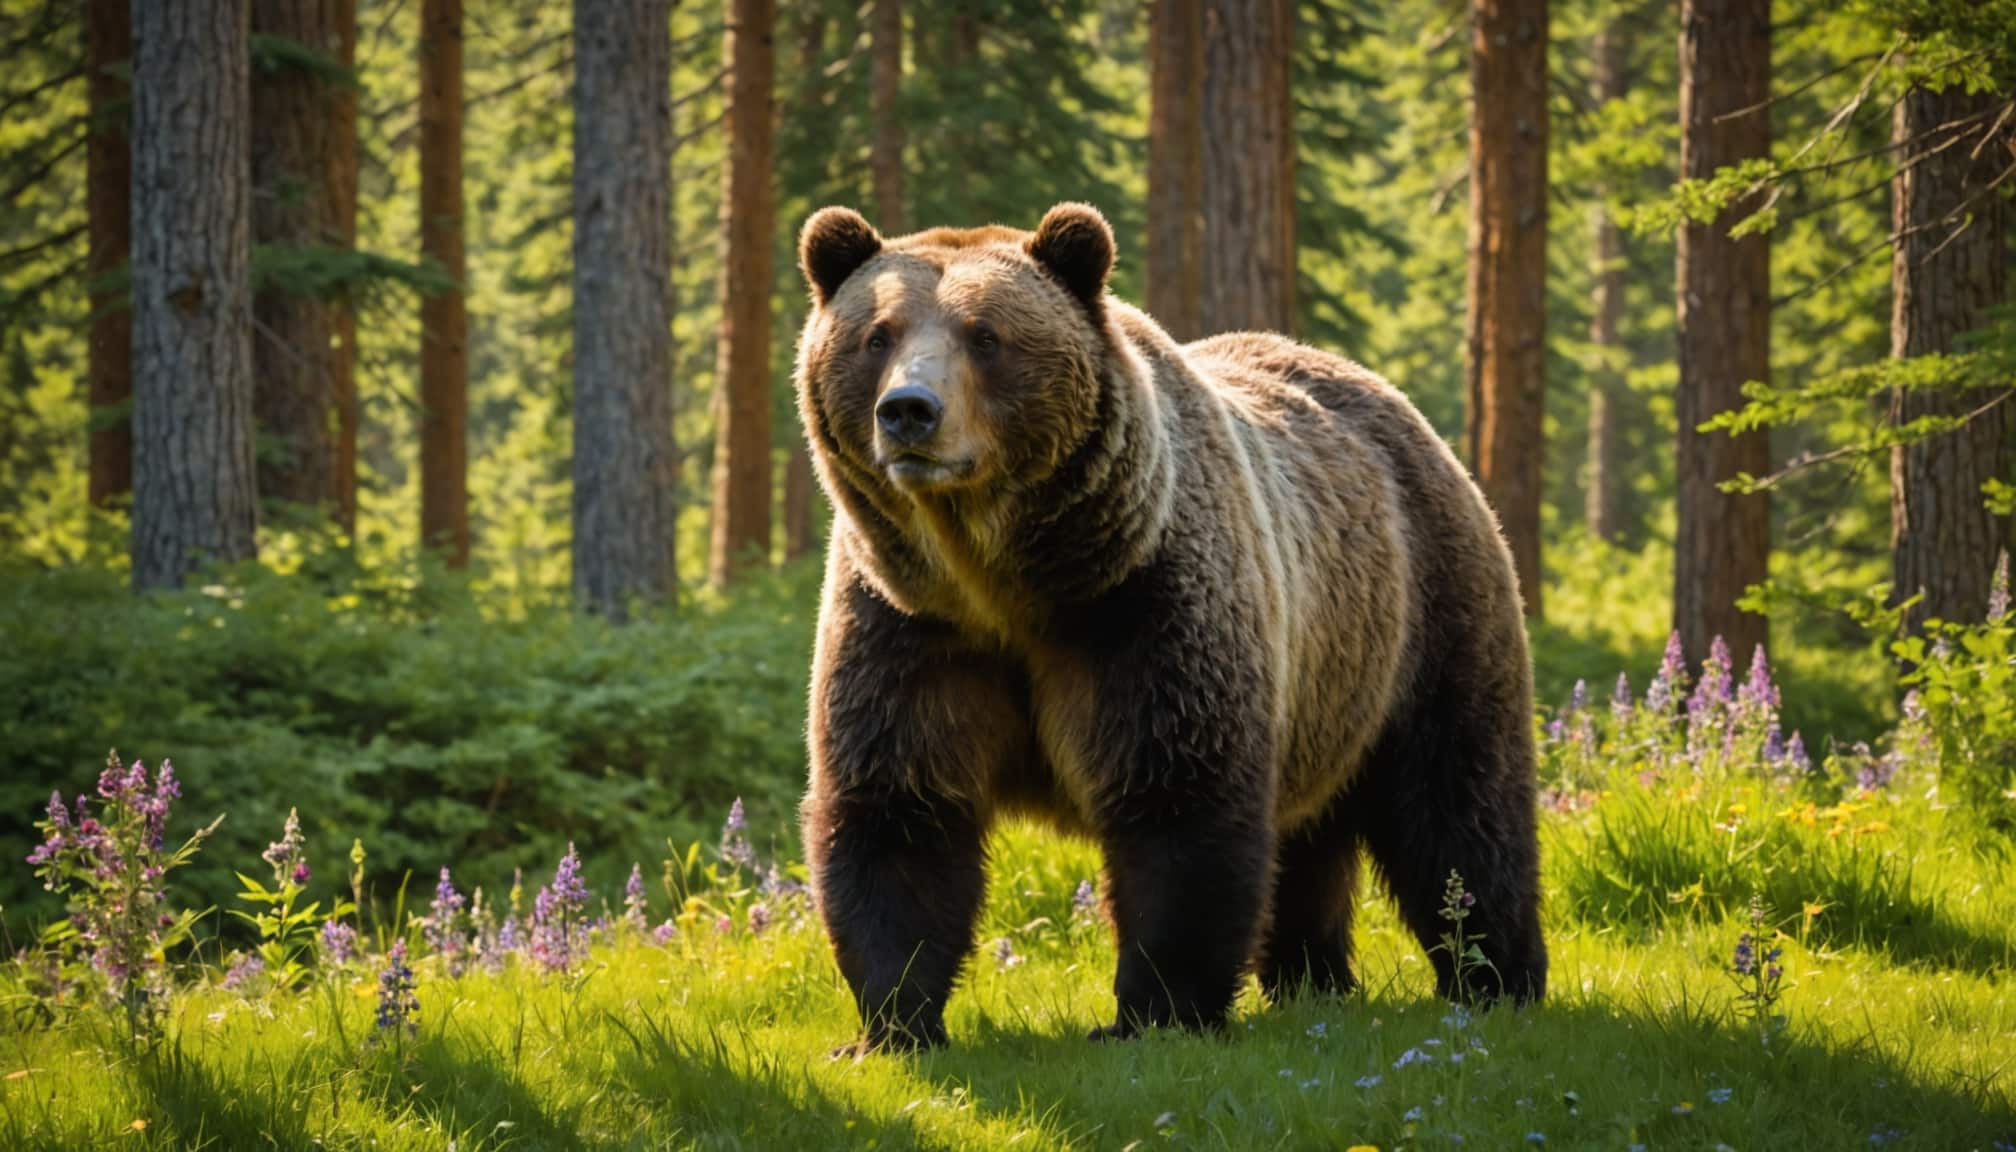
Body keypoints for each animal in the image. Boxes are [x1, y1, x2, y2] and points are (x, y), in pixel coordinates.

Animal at [790, 202, 1540, 1049]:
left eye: (985, 335)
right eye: (876, 335)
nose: (910, 411)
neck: (1003, 582)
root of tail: (1398, 406)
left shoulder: (1144, 607)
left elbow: (1177, 801)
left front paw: (1153, 1015)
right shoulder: (910, 628)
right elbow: (899, 809)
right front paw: (892, 1024)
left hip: (1426, 611)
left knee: (1459, 806)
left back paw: (1496, 978)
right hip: (1326, 684)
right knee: (1309, 840)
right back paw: (1313, 981)